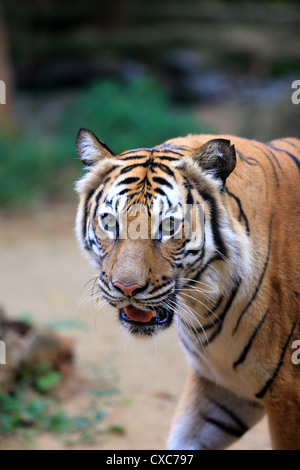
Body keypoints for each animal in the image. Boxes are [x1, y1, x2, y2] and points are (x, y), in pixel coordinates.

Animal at [74, 127, 300, 448]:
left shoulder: (286, 394)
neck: (208, 308)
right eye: (109, 221)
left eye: (169, 225)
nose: (126, 288)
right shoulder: (220, 385)